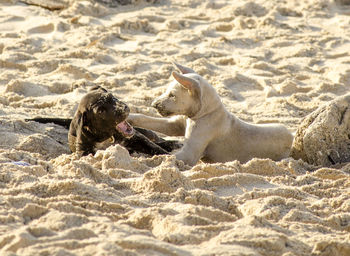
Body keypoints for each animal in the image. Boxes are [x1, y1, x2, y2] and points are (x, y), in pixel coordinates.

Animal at [27, 86, 180, 156]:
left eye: (112, 97)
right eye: (100, 111)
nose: (125, 108)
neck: (106, 136)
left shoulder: (137, 138)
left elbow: (154, 148)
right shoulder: (83, 151)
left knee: (156, 139)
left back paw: (172, 144)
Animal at [127, 63, 294, 165]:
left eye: (172, 95)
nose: (153, 104)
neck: (206, 113)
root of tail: (292, 136)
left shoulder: (189, 154)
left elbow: (166, 157)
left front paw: (140, 160)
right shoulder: (174, 124)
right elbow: (146, 118)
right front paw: (129, 117)